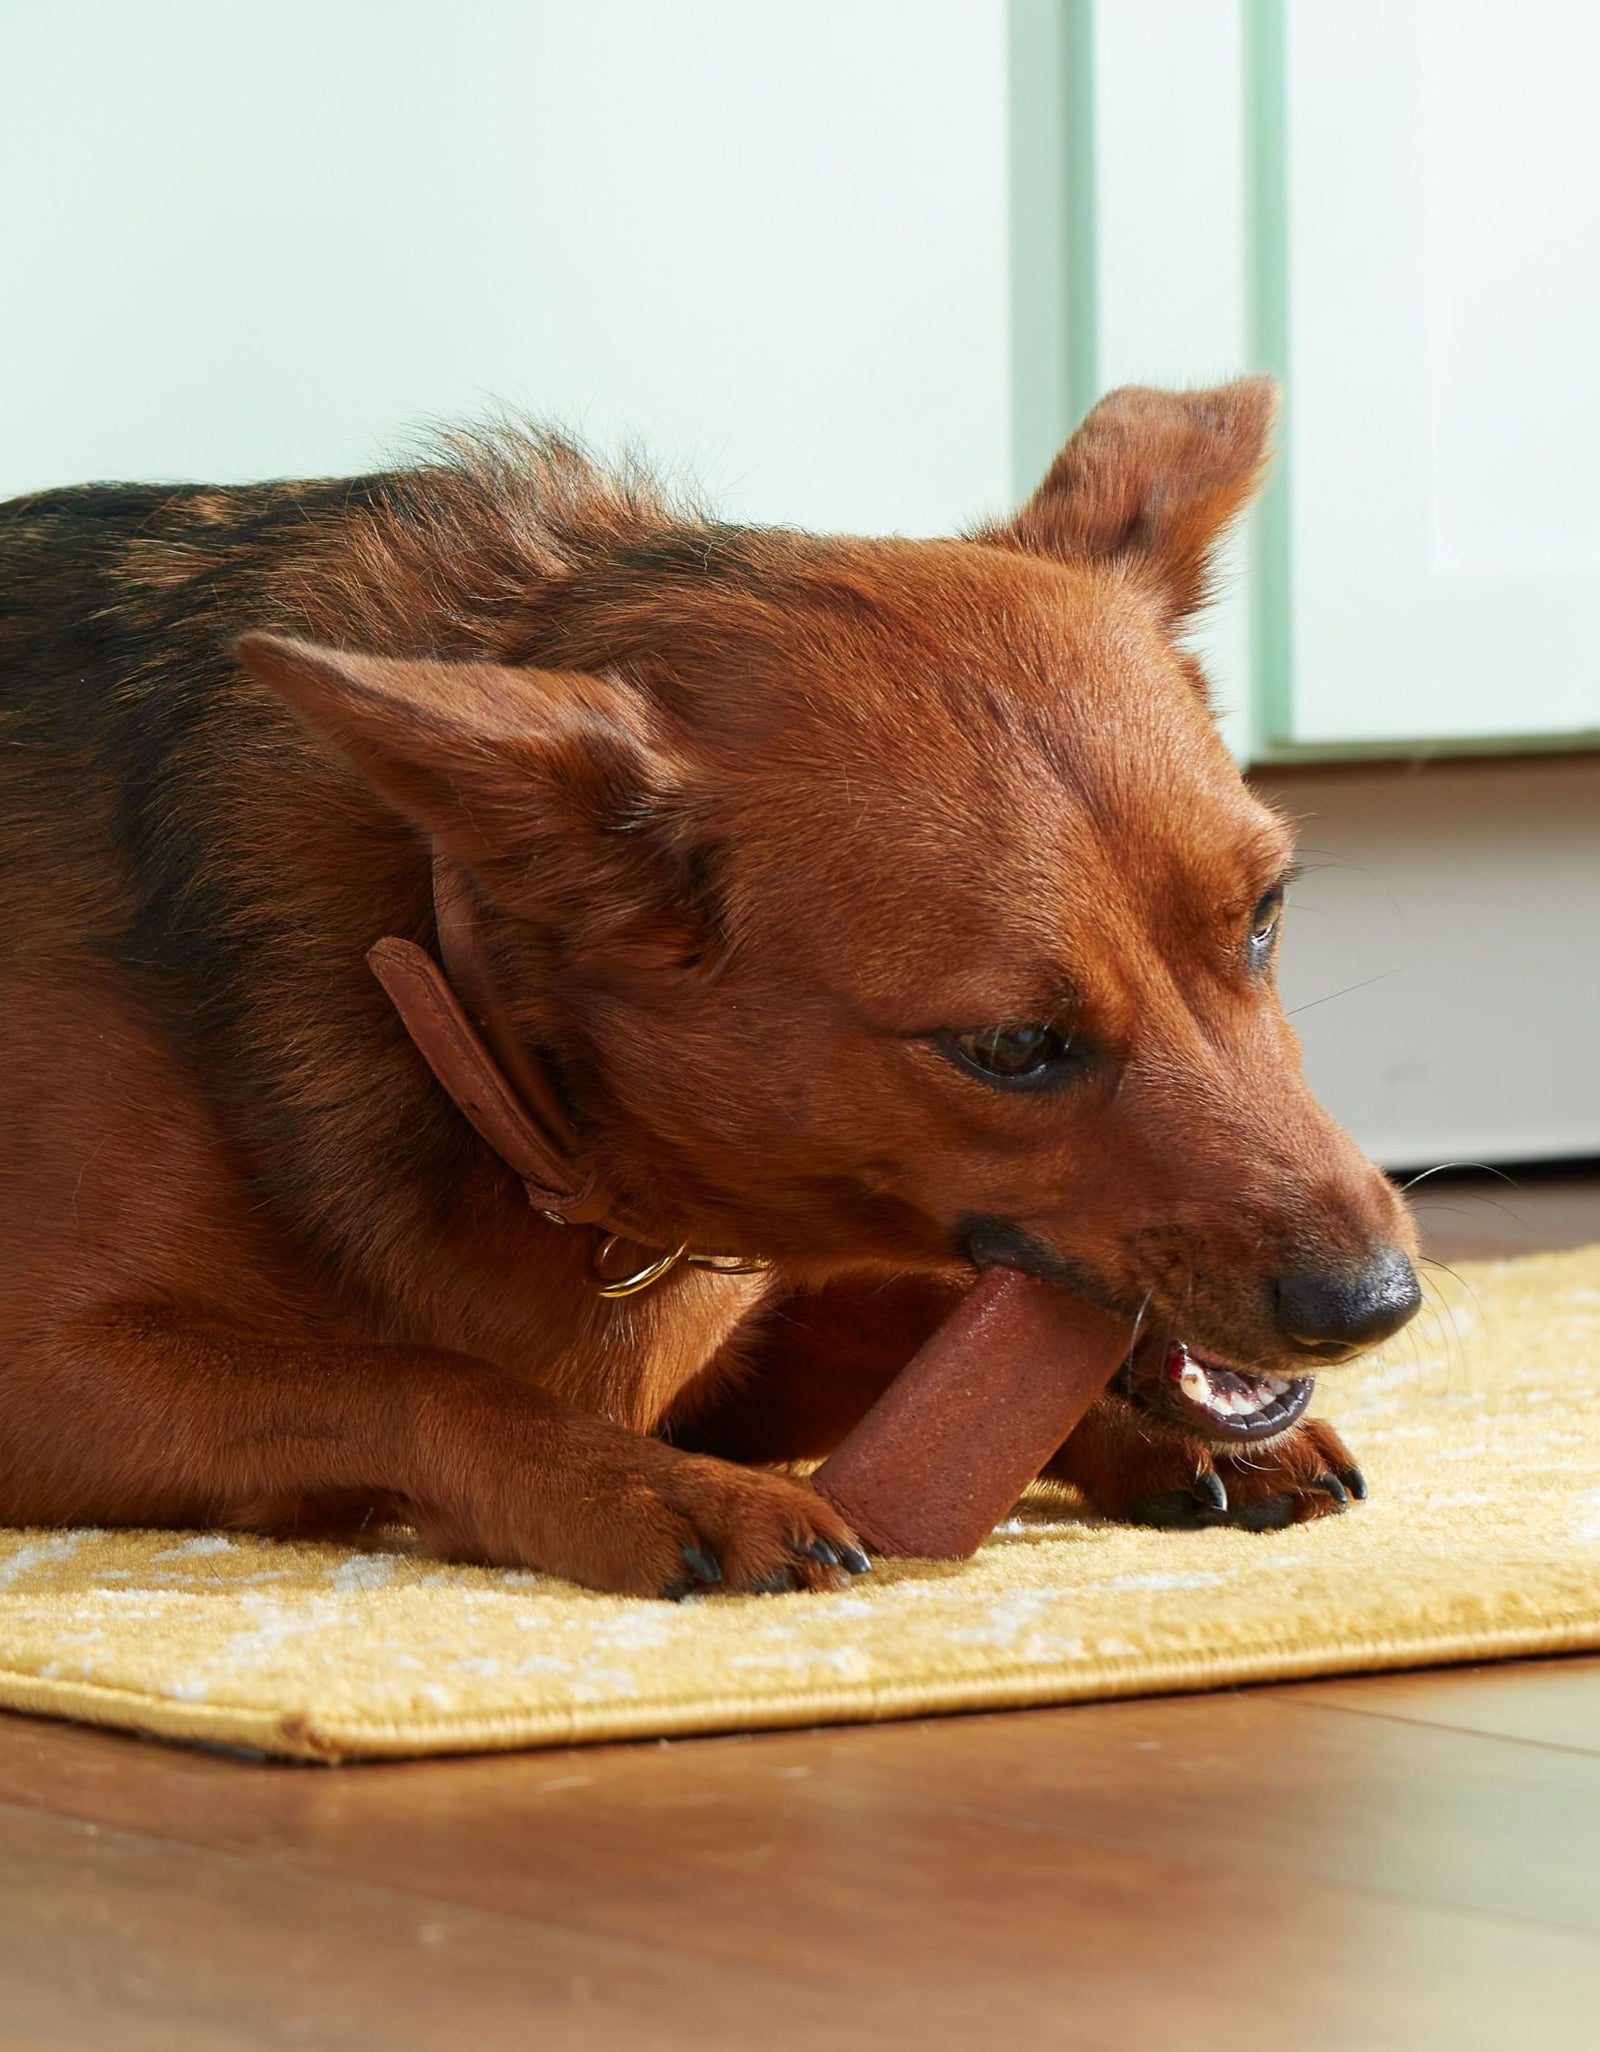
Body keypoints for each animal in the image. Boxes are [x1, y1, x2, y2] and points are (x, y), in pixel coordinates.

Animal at [0, 387, 1427, 1600]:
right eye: (1014, 1046)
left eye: (1264, 917)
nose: (1378, 1306)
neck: (451, 999)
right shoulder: (44, 1372)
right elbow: (414, 1379)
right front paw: (654, 1491)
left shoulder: (739, 1352)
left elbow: (911, 1322)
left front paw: (1148, 1423)